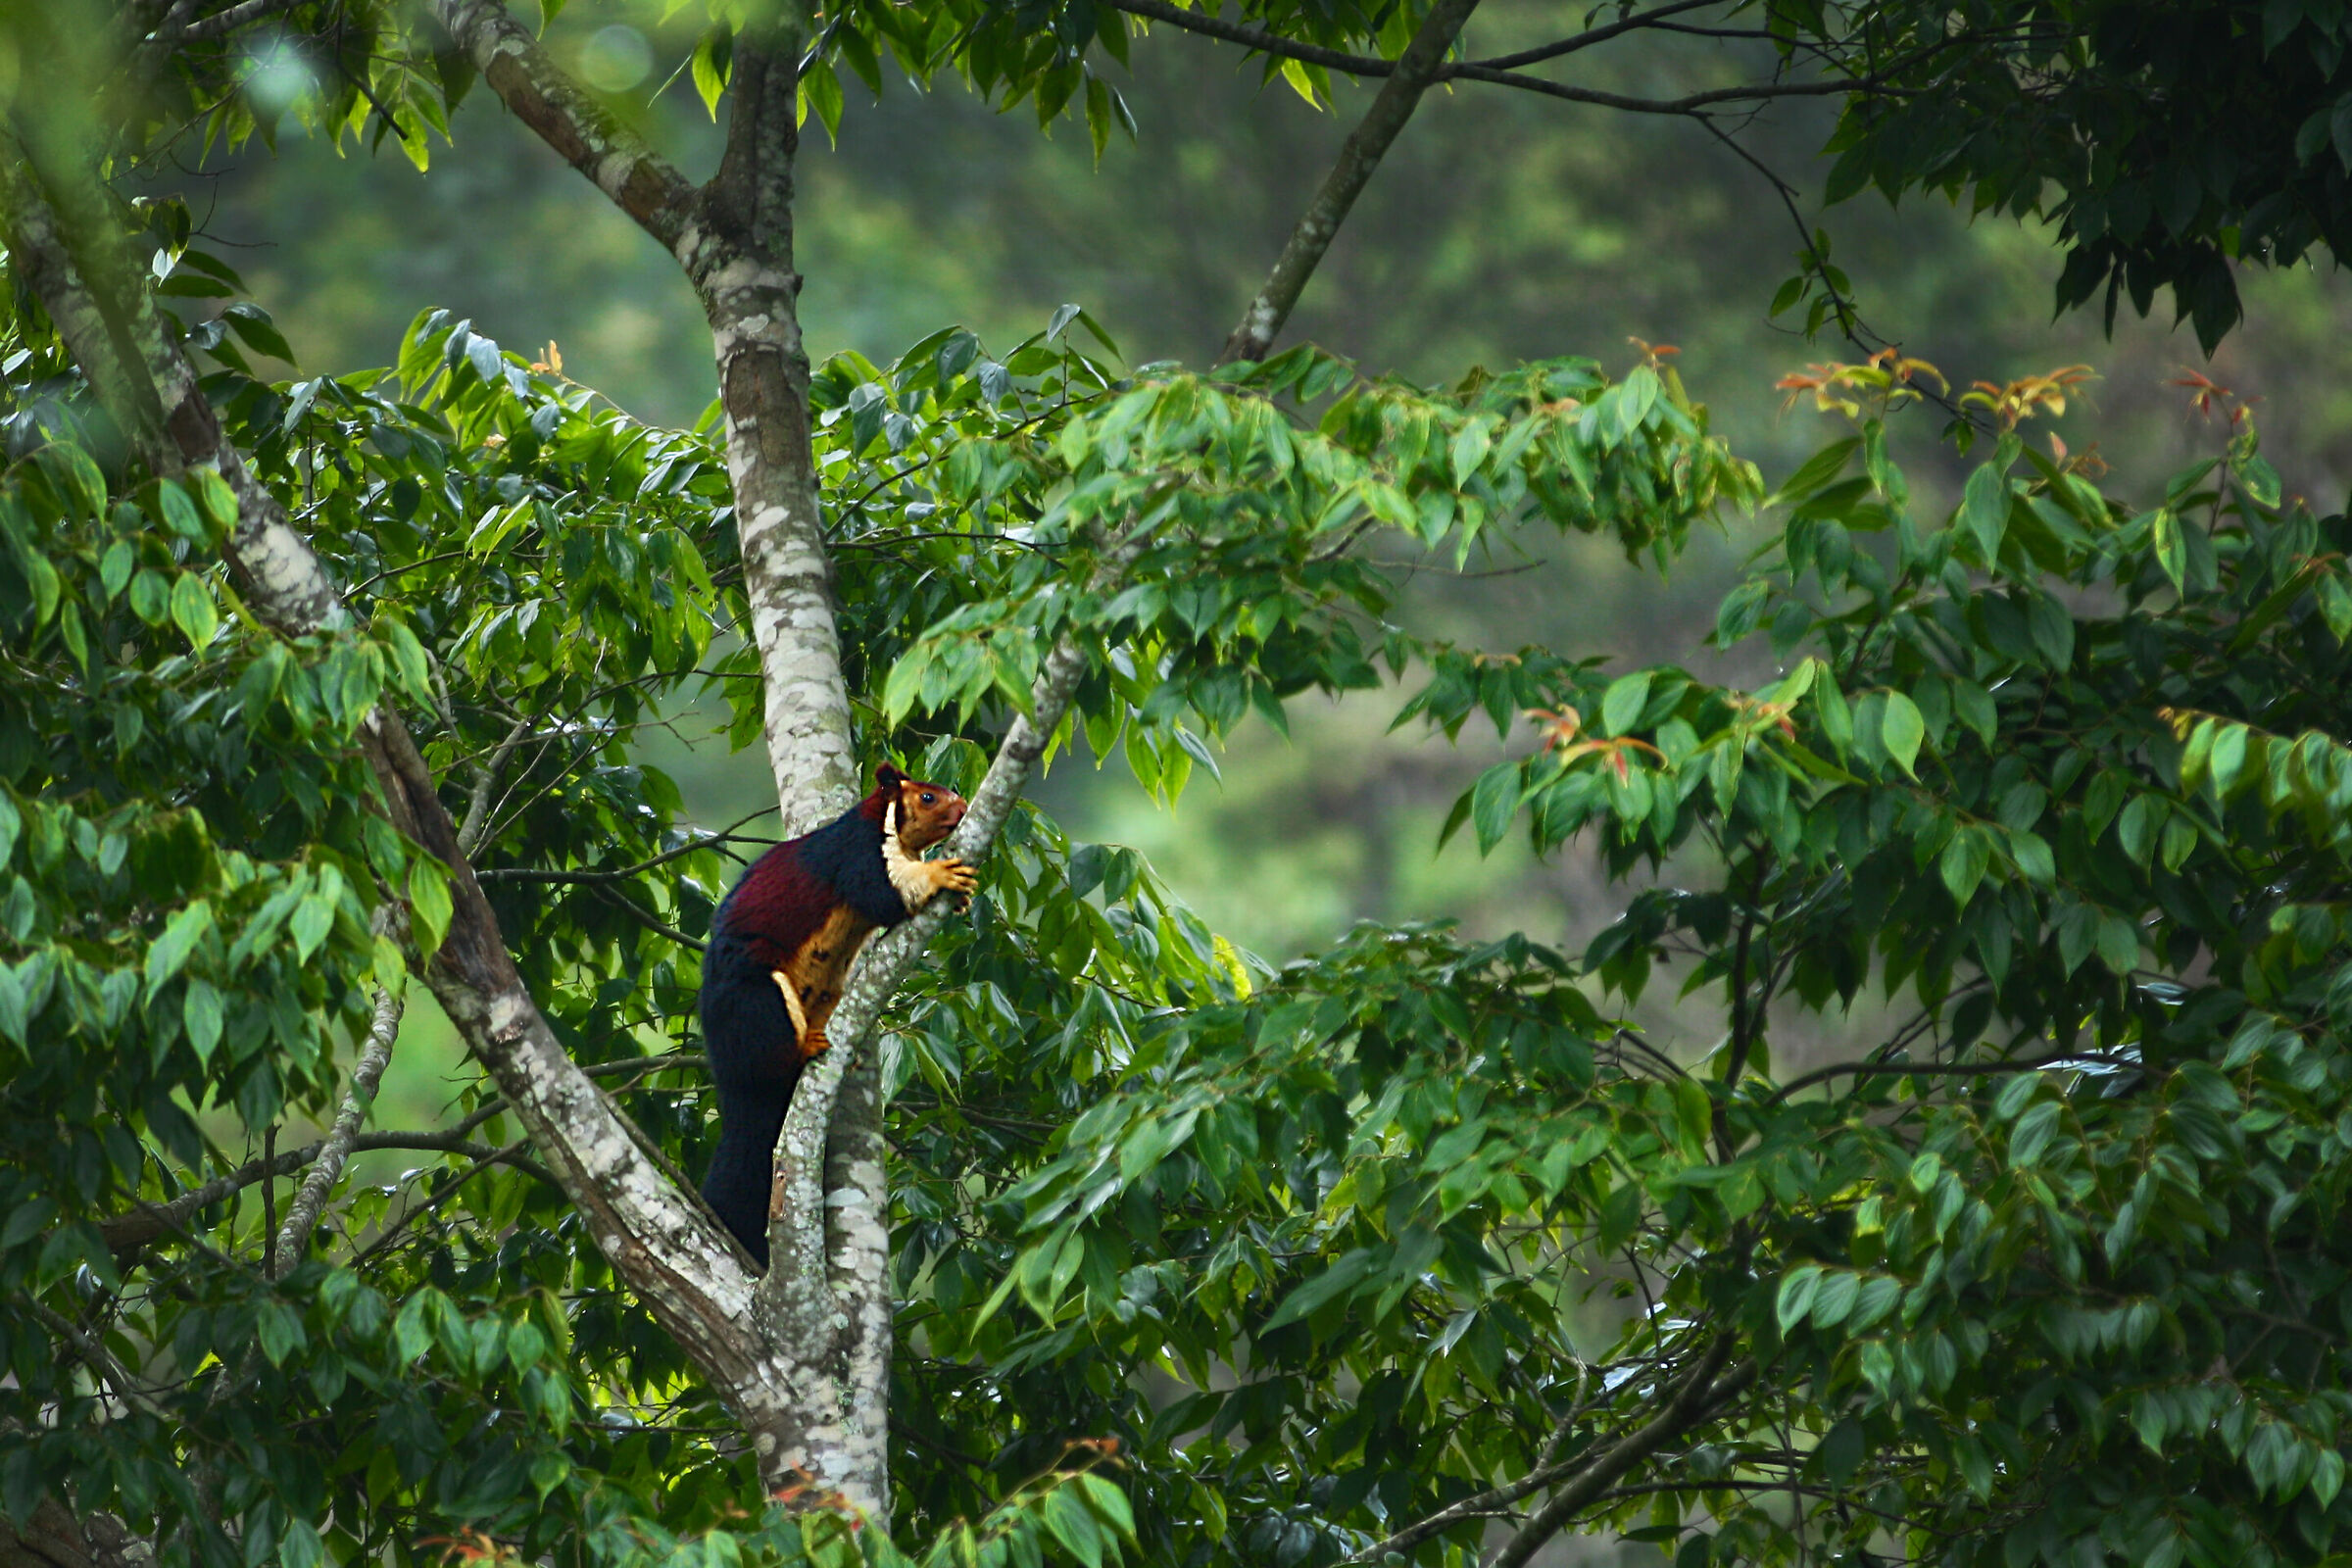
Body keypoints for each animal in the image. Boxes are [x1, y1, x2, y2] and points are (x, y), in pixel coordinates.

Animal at [698, 764, 976, 1267]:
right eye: (927, 797)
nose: (962, 808)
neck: (882, 823)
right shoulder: (855, 857)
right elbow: (884, 896)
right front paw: (940, 874)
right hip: (751, 998)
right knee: (770, 1046)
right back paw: (805, 1047)